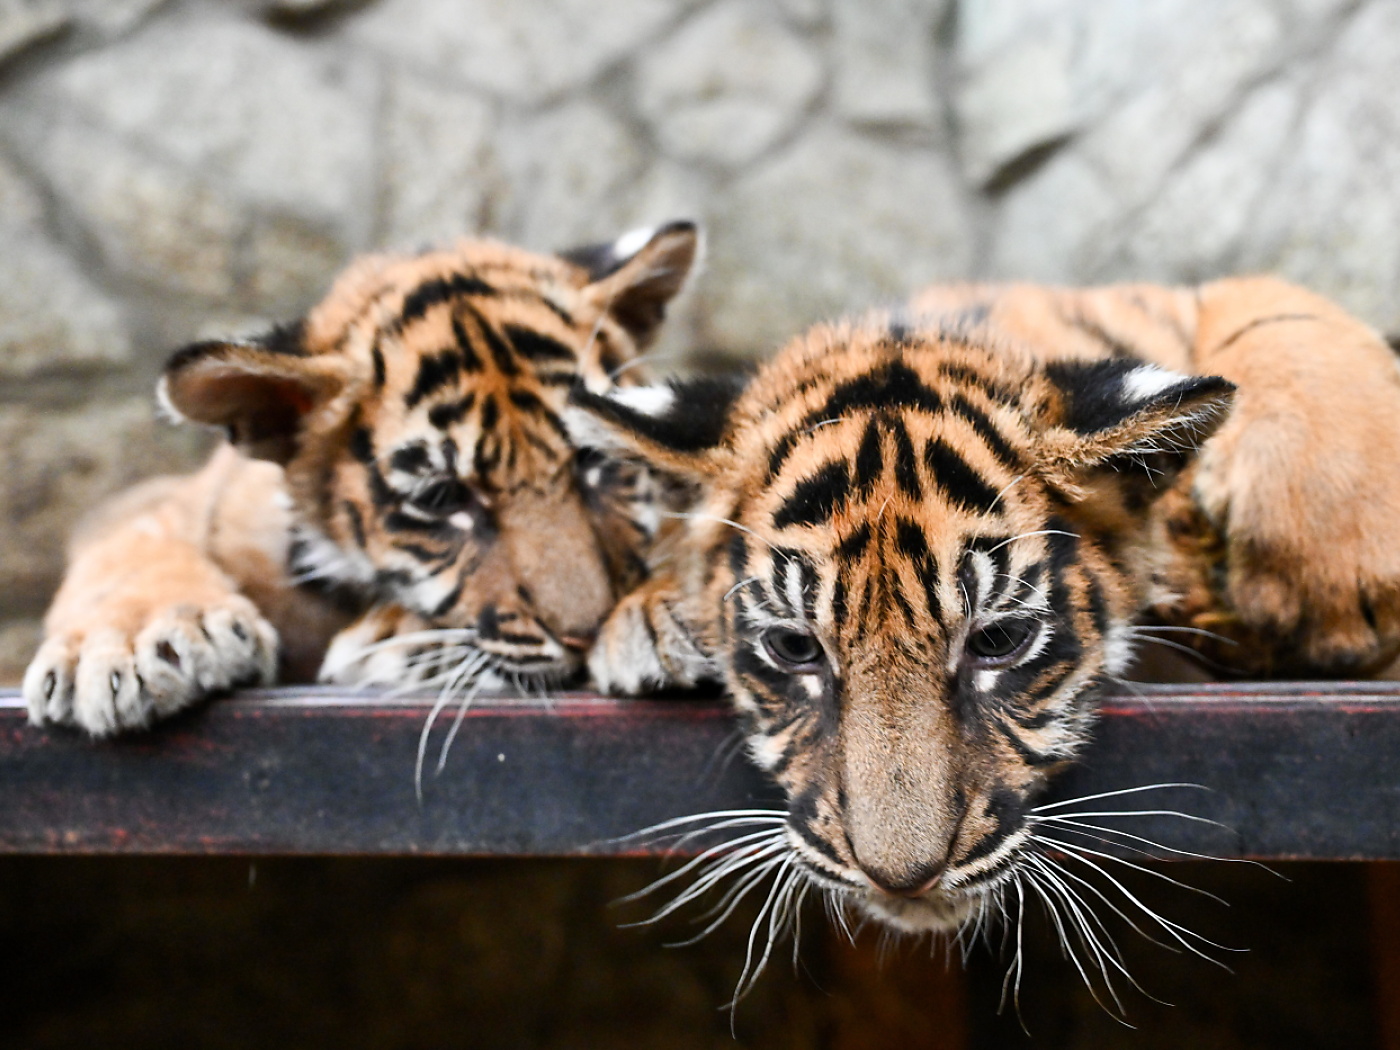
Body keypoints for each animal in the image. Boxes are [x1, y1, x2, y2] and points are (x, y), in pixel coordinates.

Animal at [23, 222, 699, 736]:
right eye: (443, 497)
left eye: (591, 461)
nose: (586, 633)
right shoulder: (154, 502)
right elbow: (129, 552)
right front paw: (136, 646)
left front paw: (668, 606)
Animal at [566, 276, 1400, 948]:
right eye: (797, 650)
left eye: (997, 641)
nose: (902, 877)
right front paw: (653, 617)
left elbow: (1284, 312)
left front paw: (1339, 578)